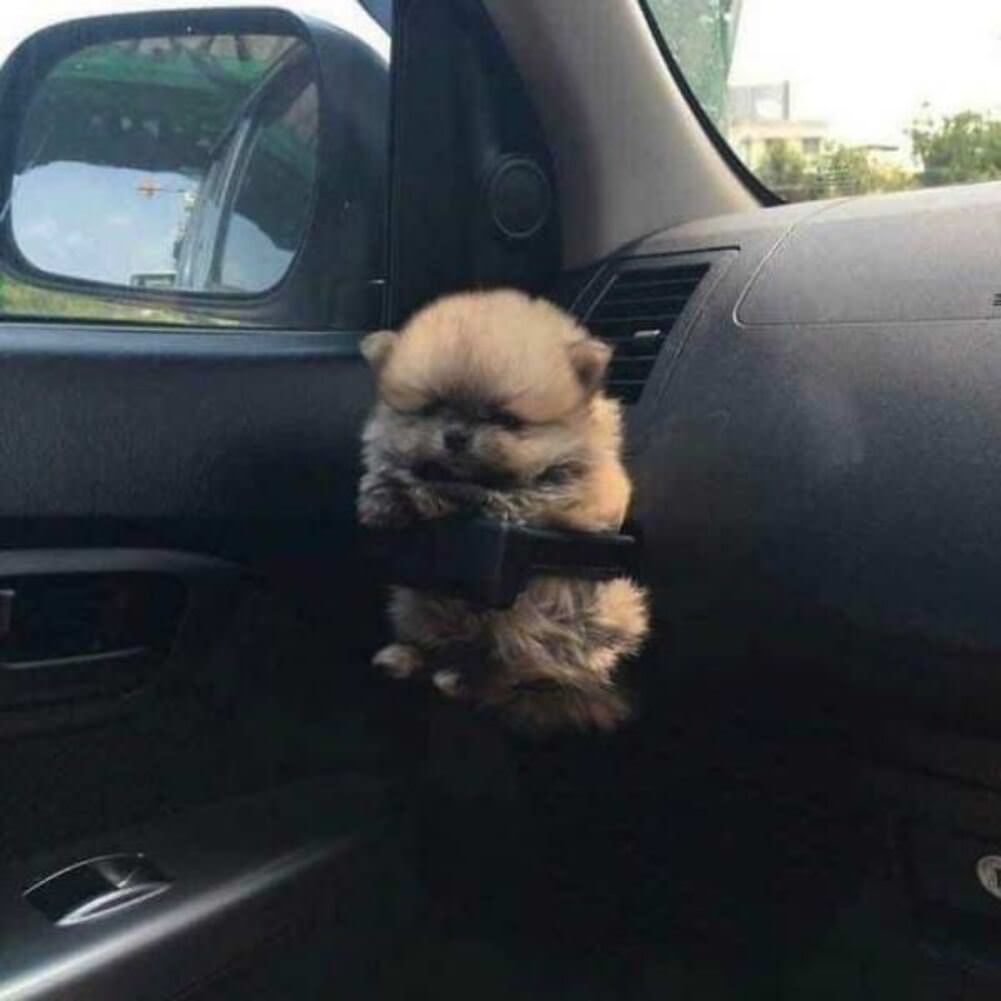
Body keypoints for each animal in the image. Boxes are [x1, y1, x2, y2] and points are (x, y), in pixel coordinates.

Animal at [358, 290, 649, 733]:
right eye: (431, 409)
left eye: (504, 419)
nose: (456, 435)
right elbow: (393, 468)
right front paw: (384, 495)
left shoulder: (569, 494)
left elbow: (497, 493)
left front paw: (430, 493)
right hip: (417, 607)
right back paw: (411, 657)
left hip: (554, 628)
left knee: (513, 669)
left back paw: (464, 679)